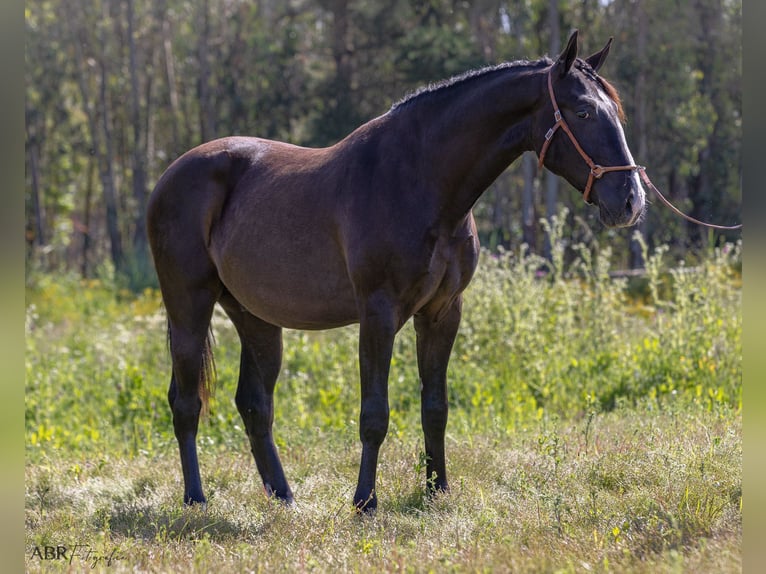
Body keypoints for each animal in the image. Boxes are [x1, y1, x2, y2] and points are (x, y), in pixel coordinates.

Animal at [147, 30, 644, 512]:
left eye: (617, 112)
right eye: (583, 111)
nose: (631, 200)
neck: (420, 181)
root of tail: (171, 174)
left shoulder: (443, 313)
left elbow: (435, 408)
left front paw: (437, 490)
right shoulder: (378, 313)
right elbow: (374, 414)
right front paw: (365, 501)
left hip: (256, 317)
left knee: (254, 404)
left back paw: (284, 499)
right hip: (188, 306)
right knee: (186, 402)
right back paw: (196, 498)